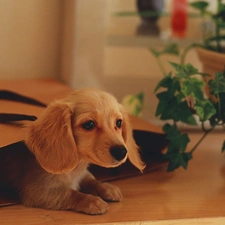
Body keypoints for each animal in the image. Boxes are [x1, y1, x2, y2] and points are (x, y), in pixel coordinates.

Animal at [0, 87, 144, 214]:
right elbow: (70, 193)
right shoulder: (37, 191)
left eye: (119, 123)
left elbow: (91, 180)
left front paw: (106, 187)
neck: (76, 168)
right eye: (89, 124)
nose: (121, 152)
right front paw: (91, 201)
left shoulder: (83, 175)